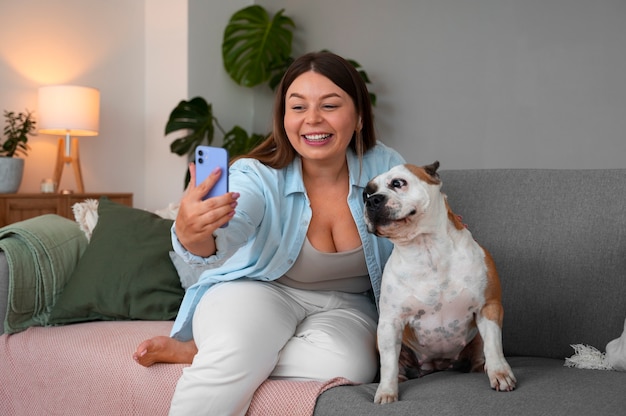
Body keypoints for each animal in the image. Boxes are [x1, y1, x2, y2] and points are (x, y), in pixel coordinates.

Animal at [364, 162, 516, 404]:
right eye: (365, 193)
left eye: (398, 183)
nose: (371, 200)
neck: (427, 249)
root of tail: (437, 365)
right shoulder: (390, 322)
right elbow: (388, 363)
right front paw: (386, 391)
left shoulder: (489, 307)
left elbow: (494, 347)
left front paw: (500, 374)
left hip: (476, 339)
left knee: (482, 353)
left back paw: (481, 368)